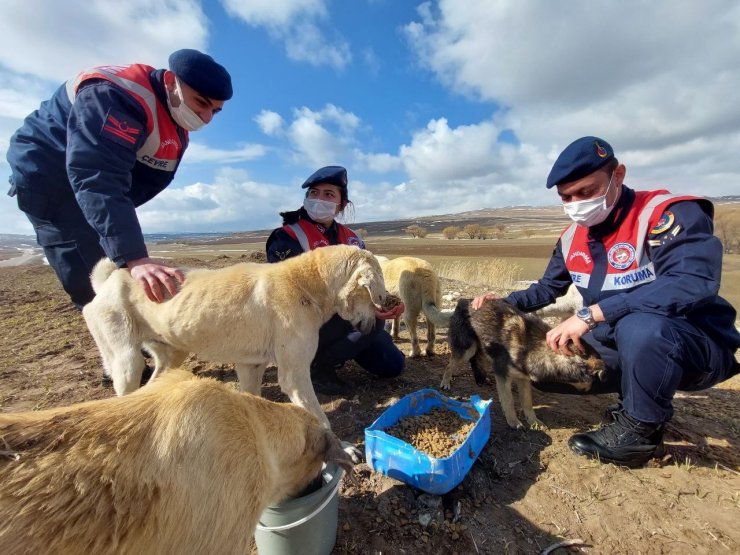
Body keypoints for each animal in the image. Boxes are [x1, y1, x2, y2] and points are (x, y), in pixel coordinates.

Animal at [82, 244, 388, 430]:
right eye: (379, 297)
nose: (374, 326)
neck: (308, 282)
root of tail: (107, 282)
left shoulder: (251, 365)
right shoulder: (295, 375)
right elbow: (318, 415)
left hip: (172, 354)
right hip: (127, 360)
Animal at [440, 300, 608, 430]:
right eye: (591, 378)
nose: (589, 390)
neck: (533, 346)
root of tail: (463, 301)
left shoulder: (524, 378)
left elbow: (527, 402)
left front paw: (534, 421)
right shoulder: (503, 375)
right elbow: (508, 401)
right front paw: (513, 422)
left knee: (477, 359)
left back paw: (482, 378)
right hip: (467, 349)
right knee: (450, 365)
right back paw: (445, 382)